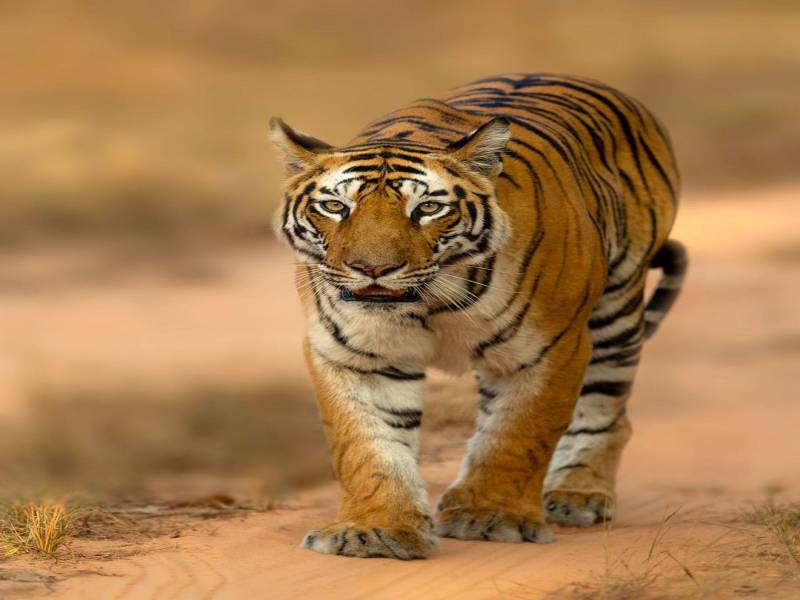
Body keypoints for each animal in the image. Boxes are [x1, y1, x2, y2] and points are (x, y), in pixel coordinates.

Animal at [270, 73, 687, 560]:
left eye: (428, 208)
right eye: (335, 207)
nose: (373, 269)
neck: (429, 304)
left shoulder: (549, 349)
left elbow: (519, 434)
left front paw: (491, 517)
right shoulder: (355, 354)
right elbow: (368, 446)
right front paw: (375, 530)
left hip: (617, 311)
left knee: (608, 408)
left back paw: (578, 494)